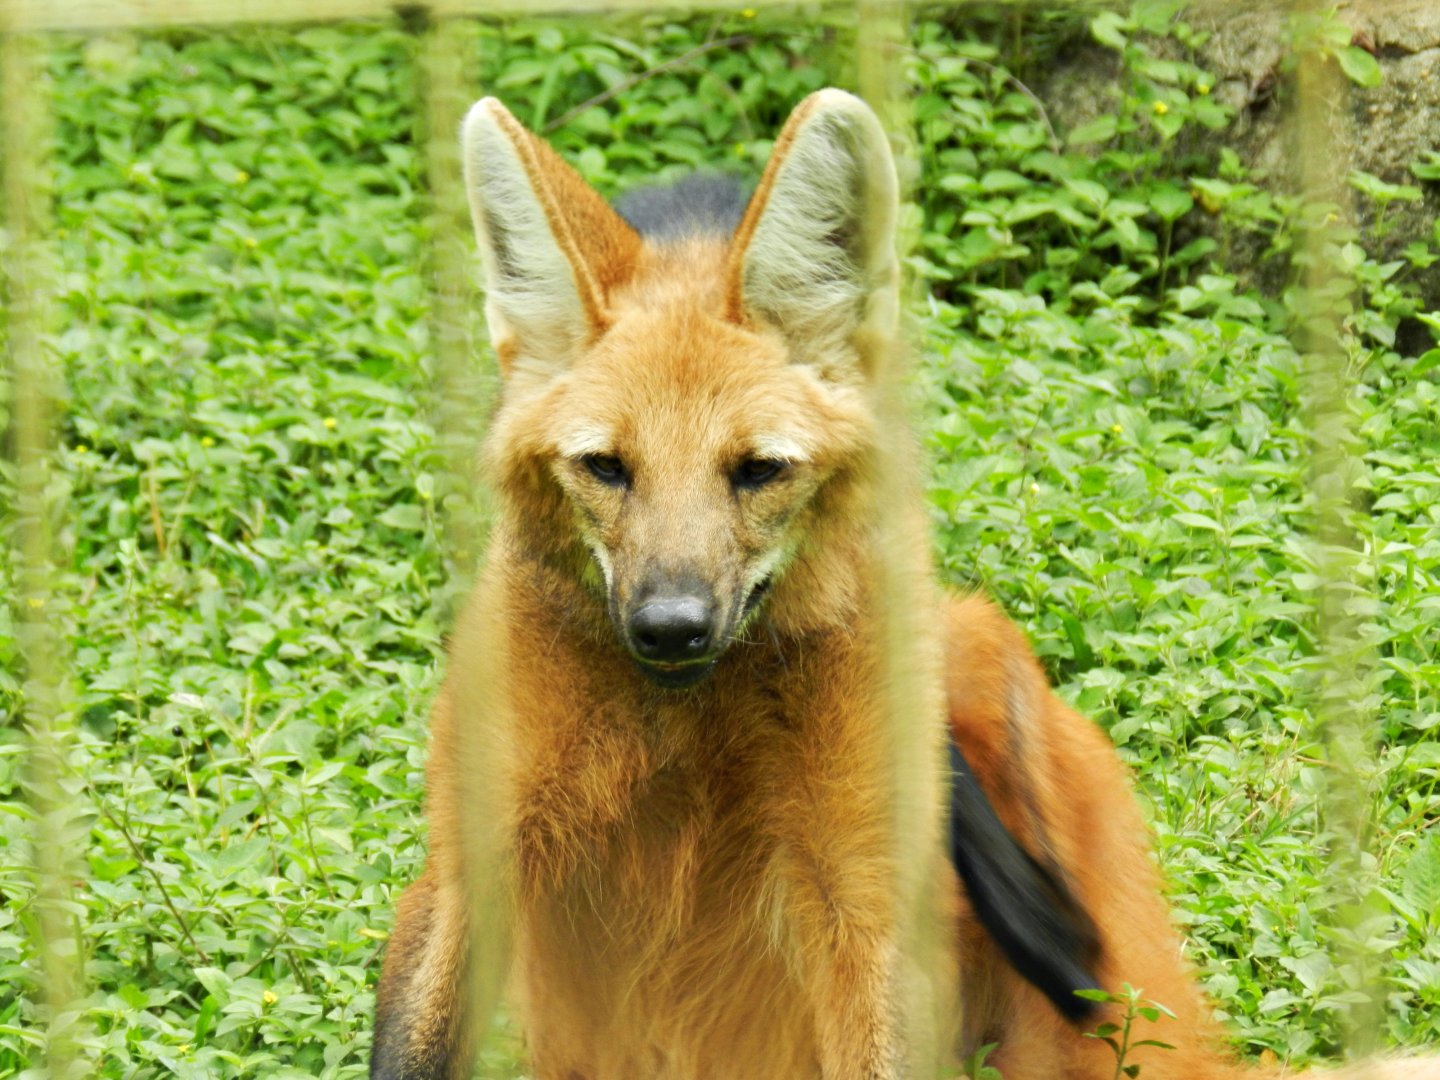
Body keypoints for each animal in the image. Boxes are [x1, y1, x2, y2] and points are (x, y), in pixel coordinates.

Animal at [370, 90, 1440, 1080]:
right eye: (605, 467)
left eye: (758, 470)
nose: (670, 626)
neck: (682, 716)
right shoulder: (468, 865)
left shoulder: (867, 905)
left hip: (988, 689)